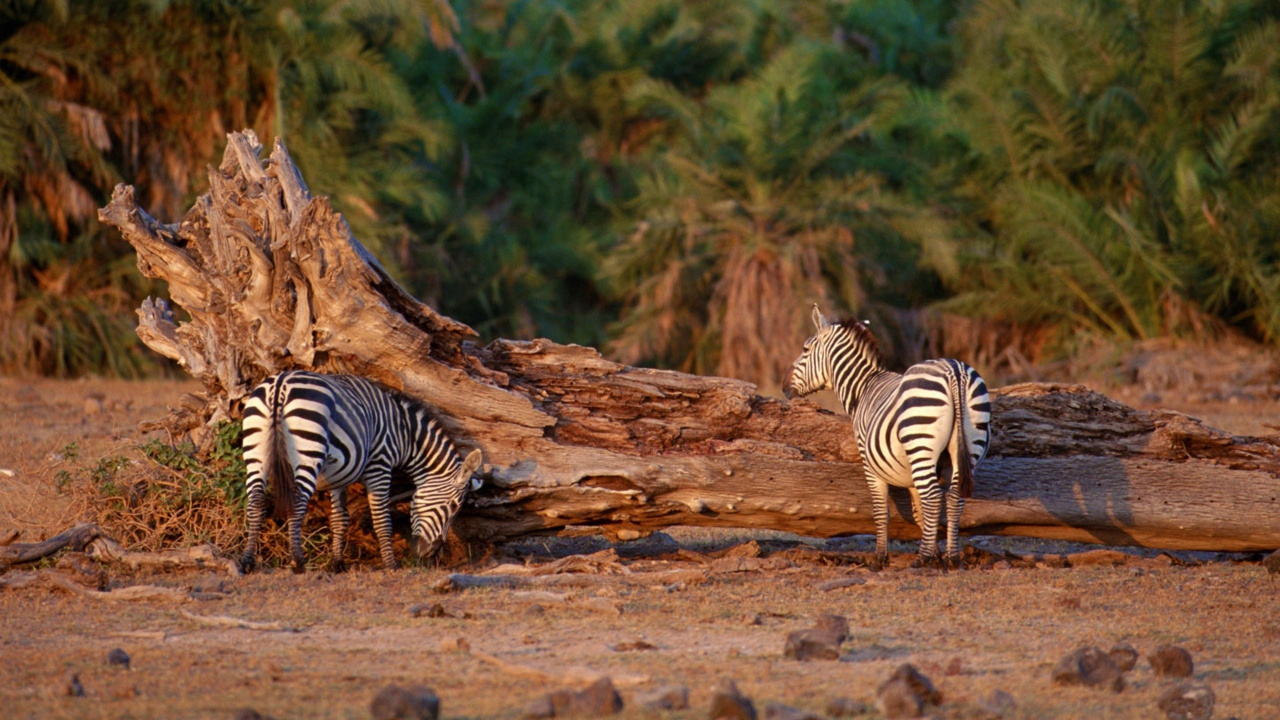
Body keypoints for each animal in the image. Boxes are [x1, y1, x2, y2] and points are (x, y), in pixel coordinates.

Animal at [238, 370, 483, 573]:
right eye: (454, 507)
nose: (430, 553)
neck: (405, 434)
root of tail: (280, 383)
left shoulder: (339, 475)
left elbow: (339, 518)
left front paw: (336, 564)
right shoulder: (380, 465)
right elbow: (382, 518)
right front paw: (391, 565)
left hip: (255, 449)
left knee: (256, 502)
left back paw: (247, 561)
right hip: (308, 450)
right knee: (296, 502)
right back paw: (297, 561)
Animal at [784, 305, 991, 568]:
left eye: (805, 349)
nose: (783, 386)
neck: (863, 388)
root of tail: (954, 371)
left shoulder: (870, 463)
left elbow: (881, 511)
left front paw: (881, 557)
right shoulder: (915, 472)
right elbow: (919, 512)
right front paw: (935, 552)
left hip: (921, 443)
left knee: (934, 497)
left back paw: (921, 559)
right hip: (968, 446)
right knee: (954, 498)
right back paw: (952, 557)